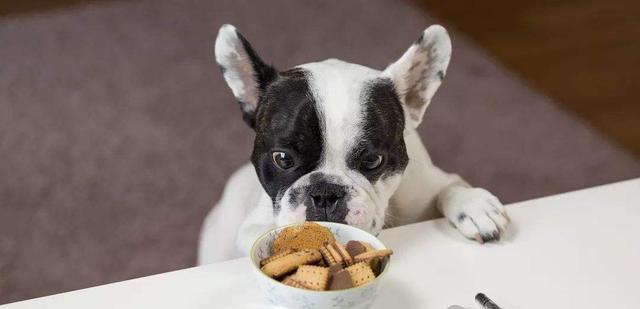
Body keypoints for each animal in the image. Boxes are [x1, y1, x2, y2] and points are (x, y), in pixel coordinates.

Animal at [198, 24, 508, 262]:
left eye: (372, 161)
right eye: (282, 159)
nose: (325, 193)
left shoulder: (428, 184)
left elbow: (450, 187)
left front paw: (474, 205)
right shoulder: (252, 227)